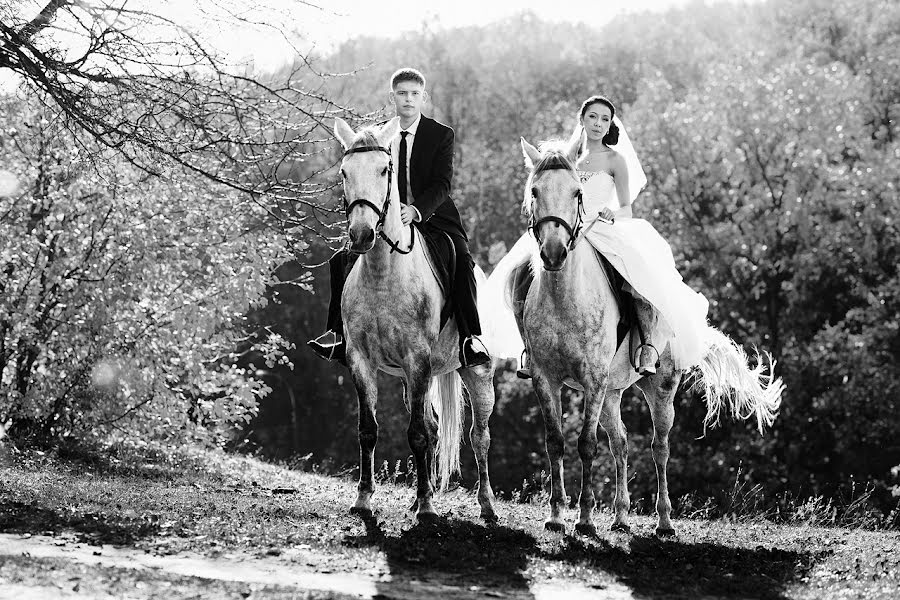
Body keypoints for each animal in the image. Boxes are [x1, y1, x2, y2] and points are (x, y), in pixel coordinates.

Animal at [334, 117, 496, 520]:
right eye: (344, 172)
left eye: (384, 169)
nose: (361, 234)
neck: (383, 273)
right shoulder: (360, 360)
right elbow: (369, 429)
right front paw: (364, 499)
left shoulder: (417, 359)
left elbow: (417, 434)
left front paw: (425, 506)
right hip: (416, 380)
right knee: (436, 426)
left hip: (476, 371)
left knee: (480, 436)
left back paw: (486, 505)